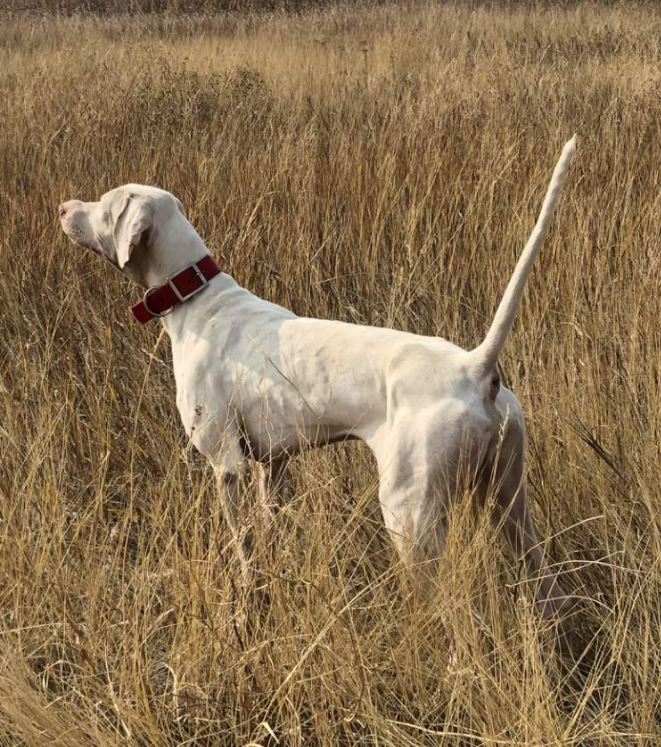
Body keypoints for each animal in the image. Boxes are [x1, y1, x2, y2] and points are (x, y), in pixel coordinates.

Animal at [62, 137, 576, 616]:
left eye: (105, 205)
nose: (65, 207)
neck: (196, 299)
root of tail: (475, 367)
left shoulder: (227, 465)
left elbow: (242, 545)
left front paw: (247, 598)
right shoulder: (271, 467)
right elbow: (268, 531)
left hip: (411, 512)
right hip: (509, 501)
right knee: (545, 579)